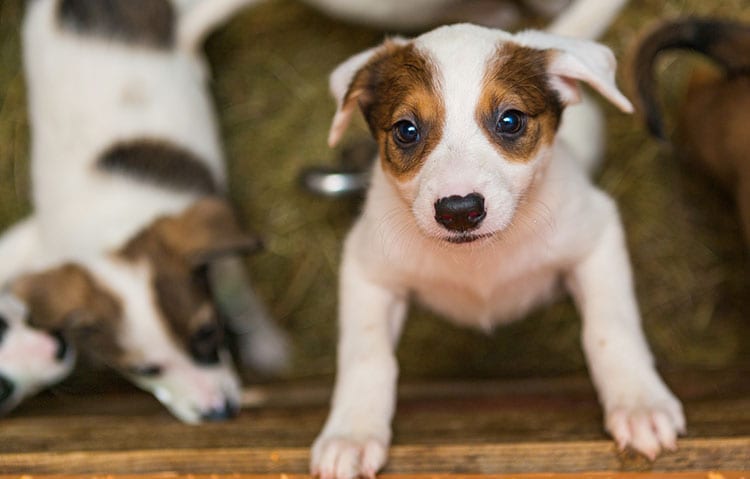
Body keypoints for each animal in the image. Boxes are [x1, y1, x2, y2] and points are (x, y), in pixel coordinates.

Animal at [0, 0, 288, 422]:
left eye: (208, 333)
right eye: (144, 370)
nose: (220, 413)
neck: (112, 230)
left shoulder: (221, 259)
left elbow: (241, 301)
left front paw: (268, 344)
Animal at [312, 3, 688, 479]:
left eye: (510, 121)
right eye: (406, 130)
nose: (459, 210)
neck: (480, 261)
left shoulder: (597, 235)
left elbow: (610, 328)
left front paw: (639, 402)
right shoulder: (367, 268)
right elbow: (366, 354)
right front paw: (352, 433)